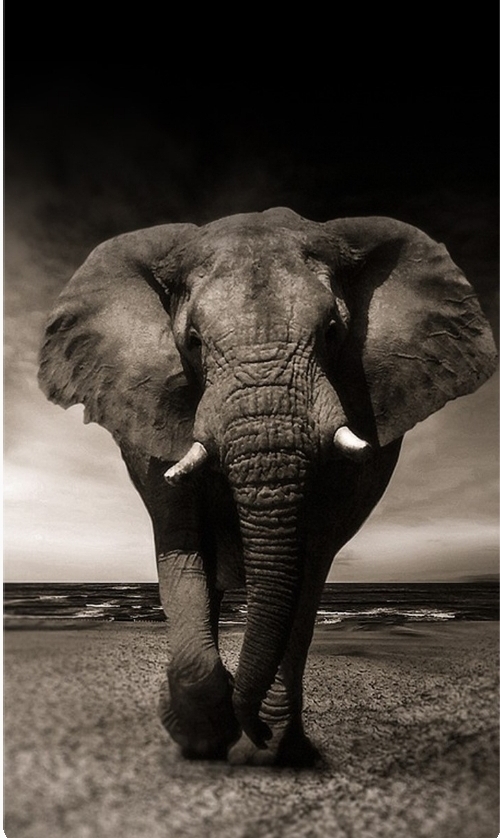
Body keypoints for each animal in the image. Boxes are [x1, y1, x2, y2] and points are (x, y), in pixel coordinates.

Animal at [38, 207, 497, 766]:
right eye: (192, 341)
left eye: (333, 332)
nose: (251, 726)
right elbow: (182, 544)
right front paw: (203, 737)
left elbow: (309, 560)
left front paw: (267, 745)